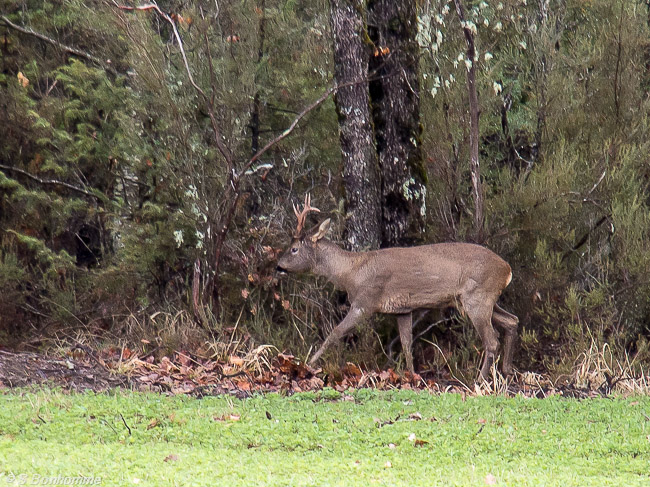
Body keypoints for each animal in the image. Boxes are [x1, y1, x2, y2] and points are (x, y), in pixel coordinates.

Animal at [276, 196, 520, 380]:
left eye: (294, 249)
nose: (278, 266)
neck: (351, 273)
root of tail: (507, 269)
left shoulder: (365, 302)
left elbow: (335, 332)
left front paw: (308, 364)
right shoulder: (403, 309)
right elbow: (406, 344)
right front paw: (412, 377)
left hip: (477, 297)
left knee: (491, 340)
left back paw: (480, 380)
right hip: (484, 299)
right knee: (512, 321)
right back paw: (507, 371)